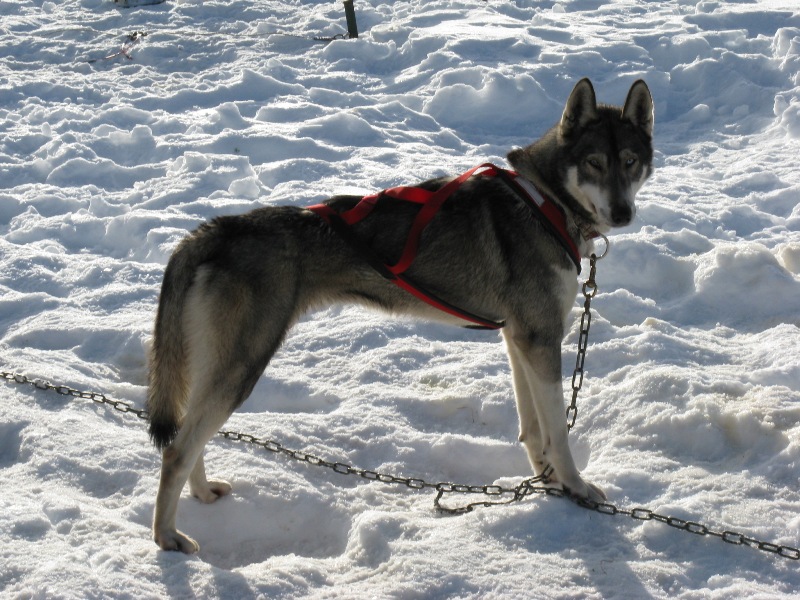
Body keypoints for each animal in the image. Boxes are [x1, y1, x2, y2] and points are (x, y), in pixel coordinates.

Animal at [147, 78, 652, 552]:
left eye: (630, 161)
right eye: (594, 163)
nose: (623, 212)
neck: (545, 200)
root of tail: (214, 230)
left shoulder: (521, 338)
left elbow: (534, 430)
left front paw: (546, 482)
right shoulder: (542, 338)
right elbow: (559, 433)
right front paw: (576, 488)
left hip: (219, 365)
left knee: (188, 438)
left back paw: (201, 495)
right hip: (243, 364)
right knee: (176, 450)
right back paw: (167, 537)